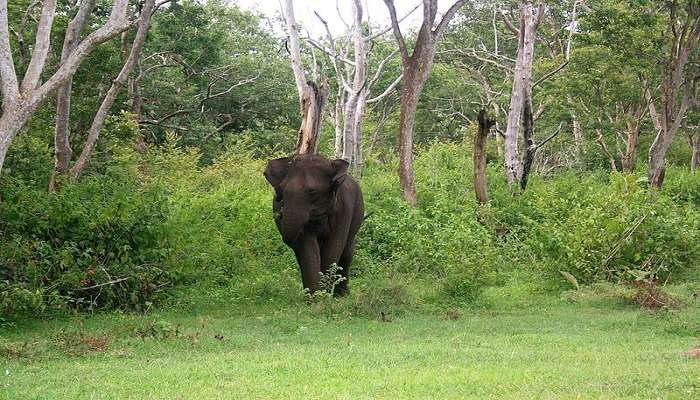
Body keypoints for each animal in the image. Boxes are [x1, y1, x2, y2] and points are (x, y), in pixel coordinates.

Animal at [264, 155, 366, 296]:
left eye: (312, 192)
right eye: (281, 190)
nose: (279, 214)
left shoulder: (344, 209)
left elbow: (334, 246)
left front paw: (325, 293)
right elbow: (308, 249)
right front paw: (315, 296)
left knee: (347, 251)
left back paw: (342, 294)